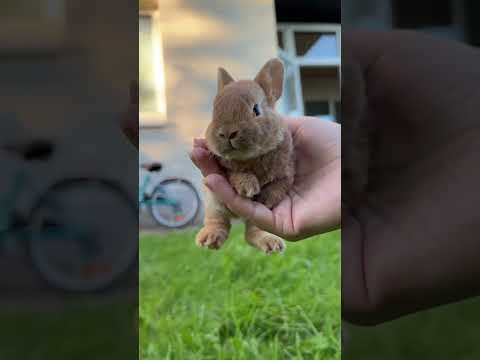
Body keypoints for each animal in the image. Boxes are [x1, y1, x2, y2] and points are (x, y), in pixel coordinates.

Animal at [196, 58, 294, 253]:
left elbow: (278, 187)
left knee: (252, 233)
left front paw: (264, 199)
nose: (227, 133)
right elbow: (236, 174)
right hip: (213, 202)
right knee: (218, 221)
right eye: (214, 111)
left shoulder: (286, 174)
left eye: (256, 109)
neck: (252, 156)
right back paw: (209, 239)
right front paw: (248, 187)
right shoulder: (224, 170)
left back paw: (271, 243)